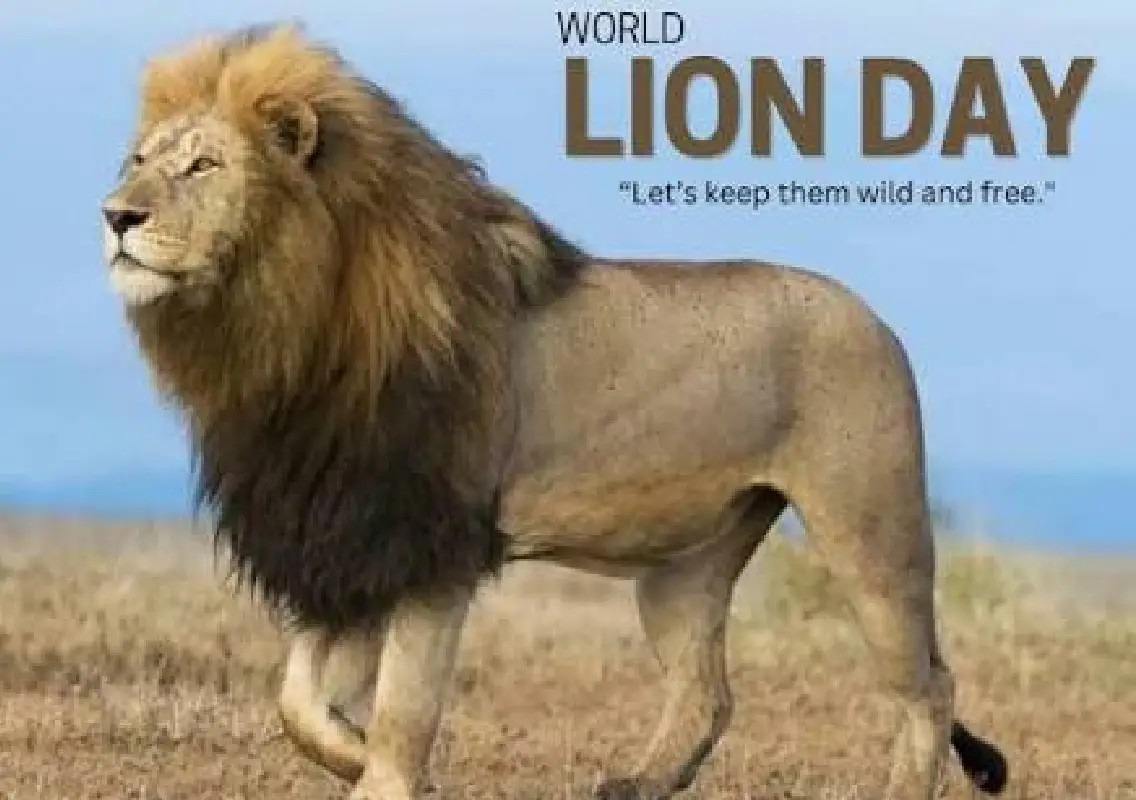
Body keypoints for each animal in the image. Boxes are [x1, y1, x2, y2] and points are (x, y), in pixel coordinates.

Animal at [99, 23, 1008, 800]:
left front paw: (383, 775)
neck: (284, 333)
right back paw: (637, 785)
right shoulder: (349, 534)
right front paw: (353, 753)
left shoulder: (433, 542)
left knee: (929, 686)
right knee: (708, 692)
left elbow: (405, 705)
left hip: (872, 530)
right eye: (138, 159)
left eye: (204, 166)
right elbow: (296, 698)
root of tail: (877, 317)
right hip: (685, 566)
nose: (116, 215)